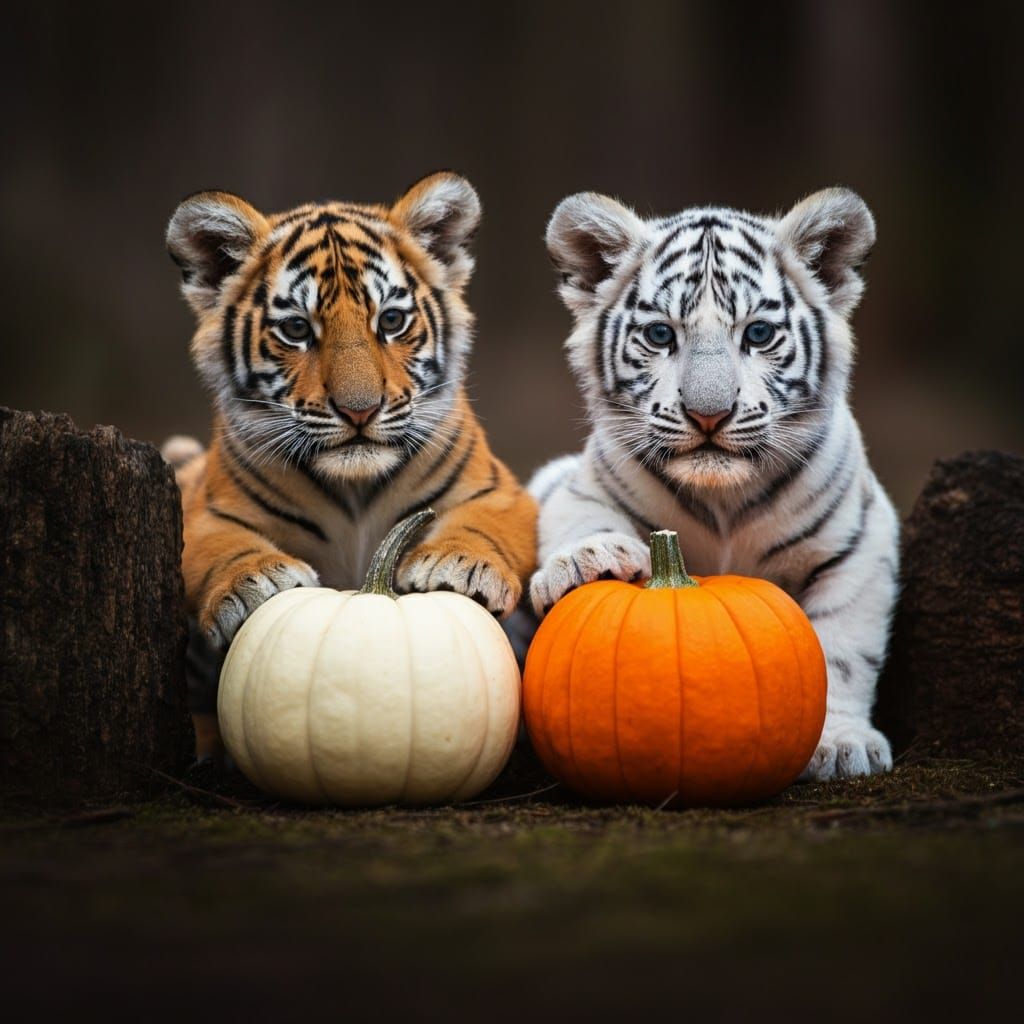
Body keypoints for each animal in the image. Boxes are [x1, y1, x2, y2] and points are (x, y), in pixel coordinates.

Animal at [163, 172, 537, 749]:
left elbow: (483, 525)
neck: (354, 488)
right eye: (297, 329)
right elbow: (220, 547)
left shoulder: (501, 493)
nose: (360, 410)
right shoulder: (202, 510)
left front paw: (457, 566)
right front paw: (256, 583)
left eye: (392, 320)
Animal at [529, 187, 899, 781]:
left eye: (758, 333)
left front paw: (842, 744)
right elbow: (581, 519)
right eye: (660, 334)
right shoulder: (576, 483)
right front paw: (589, 559)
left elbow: (843, 648)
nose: (709, 414)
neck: (723, 497)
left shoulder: (861, 539)